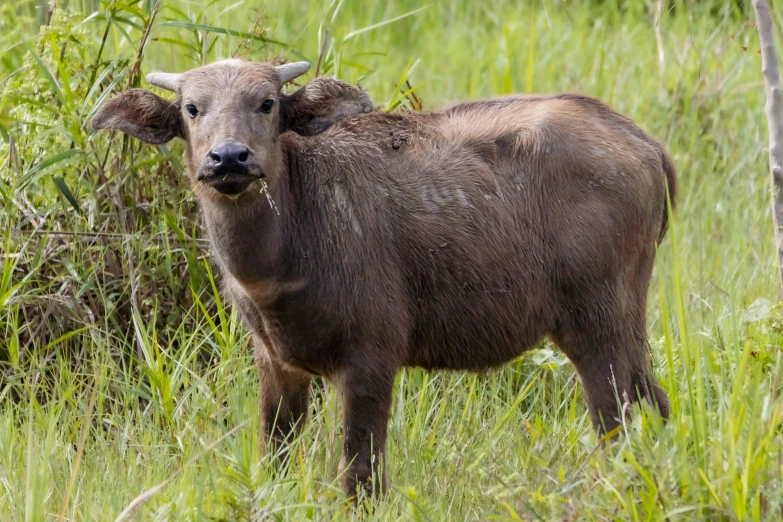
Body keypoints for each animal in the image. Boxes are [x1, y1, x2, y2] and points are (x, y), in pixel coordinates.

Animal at [95, 59, 676, 498]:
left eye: (267, 103)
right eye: (192, 108)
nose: (229, 157)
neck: (299, 226)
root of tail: (643, 144)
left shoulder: (371, 362)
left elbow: (360, 476)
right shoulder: (277, 364)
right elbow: (274, 458)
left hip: (596, 329)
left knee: (617, 424)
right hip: (625, 327)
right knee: (656, 405)